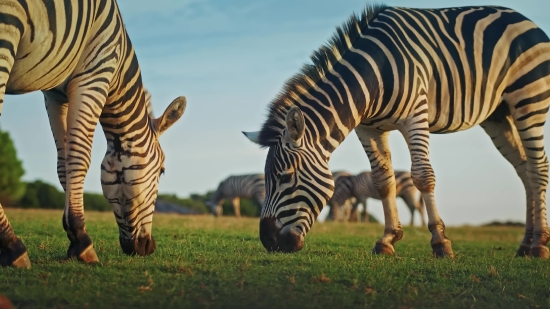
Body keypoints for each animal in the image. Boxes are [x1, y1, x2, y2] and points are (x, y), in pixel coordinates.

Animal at [0, 0, 188, 268]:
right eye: (162, 171)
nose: (149, 248)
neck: (119, 70)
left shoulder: (54, 94)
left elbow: (63, 165)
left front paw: (73, 237)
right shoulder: (95, 73)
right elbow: (79, 158)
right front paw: (82, 241)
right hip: (8, 30)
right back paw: (12, 245)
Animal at [245, 4, 550, 258]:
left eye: (286, 177)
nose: (270, 243)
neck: (372, 76)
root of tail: (524, 19)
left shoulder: (416, 115)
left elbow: (423, 176)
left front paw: (441, 243)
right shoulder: (369, 129)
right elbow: (383, 181)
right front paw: (387, 240)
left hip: (529, 100)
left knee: (538, 168)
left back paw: (538, 245)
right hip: (498, 116)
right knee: (524, 170)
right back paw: (525, 244)